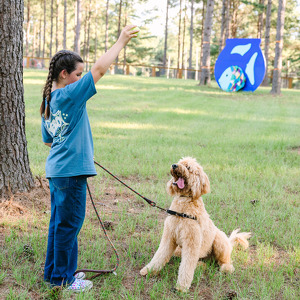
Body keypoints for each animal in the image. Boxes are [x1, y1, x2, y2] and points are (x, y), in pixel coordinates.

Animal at [141, 156, 251, 292]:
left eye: (188, 167)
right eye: (180, 162)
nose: (174, 165)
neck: (183, 208)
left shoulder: (191, 242)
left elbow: (187, 266)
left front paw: (182, 287)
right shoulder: (169, 237)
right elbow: (160, 255)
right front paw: (148, 270)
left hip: (219, 241)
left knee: (224, 260)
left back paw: (226, 268)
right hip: (179, 250)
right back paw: (200, 265)